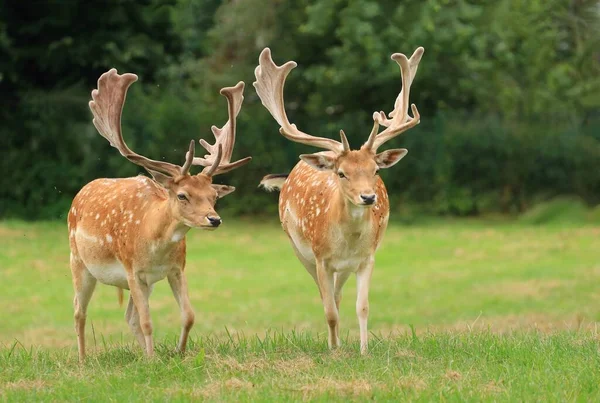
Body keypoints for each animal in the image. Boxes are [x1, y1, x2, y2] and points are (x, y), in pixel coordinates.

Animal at [68, 69, 251, 362]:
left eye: (213, 196)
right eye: (182, 195)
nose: (214, 219)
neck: (152, 240)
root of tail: (82, 191)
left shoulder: (175, 269)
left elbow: (188, 315)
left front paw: (178, 351)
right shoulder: (132, 269)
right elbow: (147, 321)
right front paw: (153, 360)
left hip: (142, 283)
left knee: (128, 315)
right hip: (79, 261)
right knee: (78, 310)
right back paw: (84, 360)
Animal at [255, 47, 424, 356]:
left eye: (375, 170)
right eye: (342, 173)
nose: (368, 196)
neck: (348, 242)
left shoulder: (367, 258)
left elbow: (362, 306)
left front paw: (363, 350)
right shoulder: (321, 258)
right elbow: (329, 310)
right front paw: (333, 350)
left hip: (343, 267)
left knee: (337, 294)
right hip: (299, 250)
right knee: (326, 297)